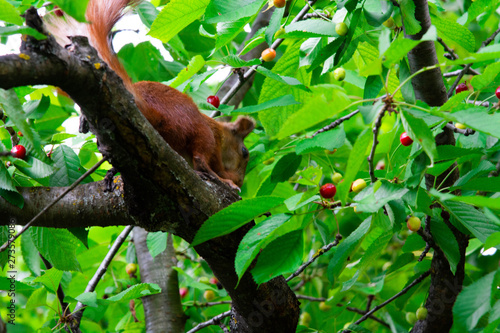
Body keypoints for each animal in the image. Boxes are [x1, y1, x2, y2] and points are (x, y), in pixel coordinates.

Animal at [46, 0, 254, 188]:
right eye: (244, 152)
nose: (240, 181)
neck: (221, 131)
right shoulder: (214, 142)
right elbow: (210, 162)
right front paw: (226, 179)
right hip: (196, 129)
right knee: (200, 160)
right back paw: (223, 182)